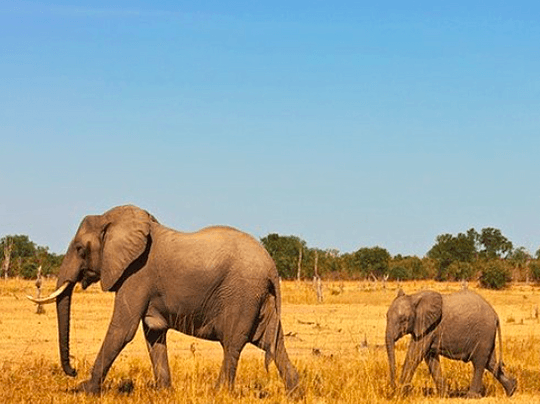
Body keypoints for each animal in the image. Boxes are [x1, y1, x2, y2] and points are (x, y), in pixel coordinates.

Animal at [27, 205, 300, 394]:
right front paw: (164, 391)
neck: (112, 220)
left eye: (80, 249)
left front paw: (85, 390)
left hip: (242, 294)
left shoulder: (137, 273)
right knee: (271, 343)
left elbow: (122, 330)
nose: (73, 371)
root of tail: (271, 266)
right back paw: (294, 392)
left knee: (233, 343)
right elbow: (153, 333)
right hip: (259, 298)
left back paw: (219, 392)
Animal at [386, 288, 516, 396]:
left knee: (479, 362)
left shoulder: (430, 327)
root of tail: (495, 315)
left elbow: (415, 354)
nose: (393, 388)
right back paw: (512, 390)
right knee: (491, 362)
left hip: (484, 331)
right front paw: (443, 395)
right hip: (486, 335)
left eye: (403, 320)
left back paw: (471, 396)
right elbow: (430, 358)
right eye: (386, 316)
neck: (413, 297)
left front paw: (400, 393)